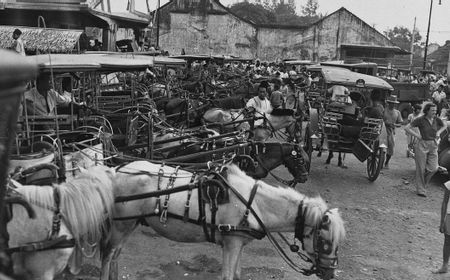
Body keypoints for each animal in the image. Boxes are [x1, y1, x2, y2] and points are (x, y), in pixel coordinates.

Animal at [101, 161, 344, 280]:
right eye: (325, 241)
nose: (330, 274)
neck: (254, 204)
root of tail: (116, 170)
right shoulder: (231, 242)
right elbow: (227, 276)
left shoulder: (238, 243)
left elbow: (236, 274)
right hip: (120, 226)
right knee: (107, 257)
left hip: (130, 224)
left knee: (115, 257)